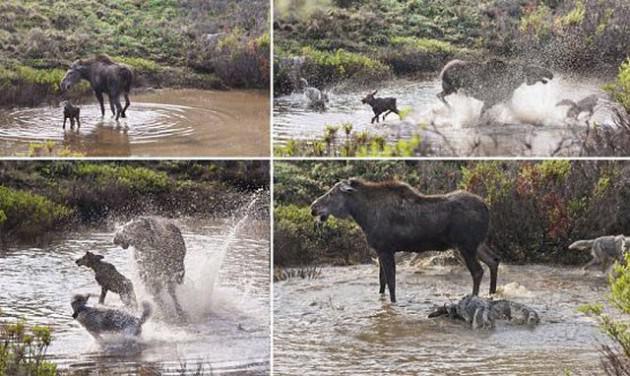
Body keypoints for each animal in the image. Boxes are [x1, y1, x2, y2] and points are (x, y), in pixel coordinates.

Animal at [310, 178, 498, 304]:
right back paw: (492, 294)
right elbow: (382, 283)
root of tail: (487, 208)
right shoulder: (380, 250)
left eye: (332, 194)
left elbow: (391, 283)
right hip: (478, 244)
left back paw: (474, 297)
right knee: (494, 260)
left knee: (478, 271)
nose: (313, 207)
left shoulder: (386, 249)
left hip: (466, 245)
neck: (362, 216)